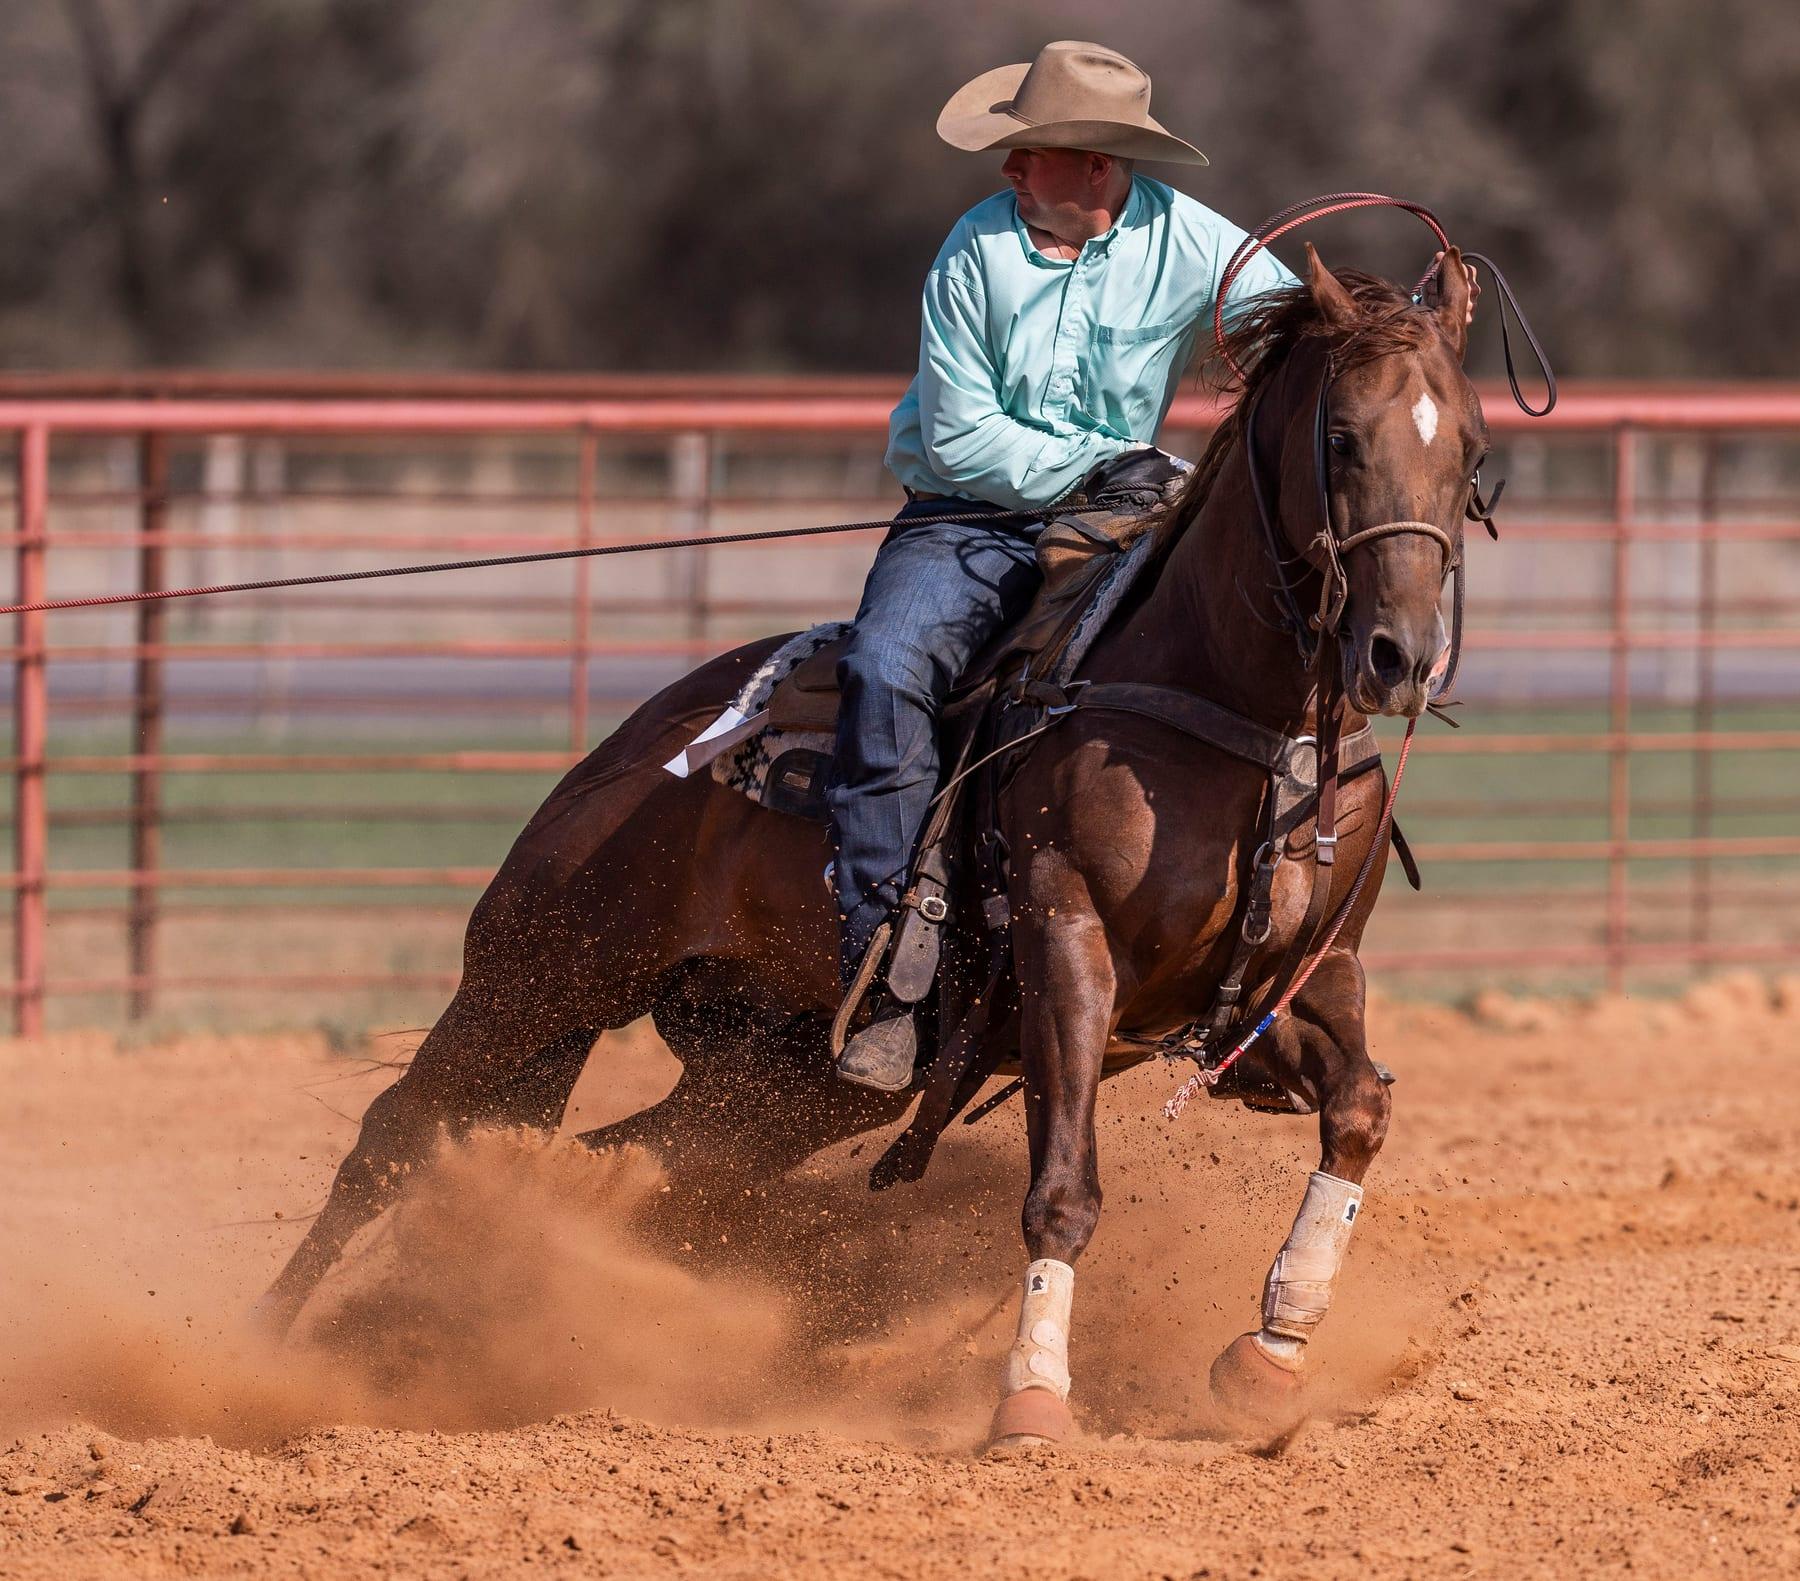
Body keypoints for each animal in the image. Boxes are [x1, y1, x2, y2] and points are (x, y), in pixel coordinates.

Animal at [260, 245, 1487, 1445]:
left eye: (1471, 450)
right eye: (1342, 436)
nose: (1400, 655)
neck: (1238, 718)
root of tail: (636, 745)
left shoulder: (1311, 980)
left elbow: (1360, 1113)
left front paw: (1271, 1360)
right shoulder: (1067, 949)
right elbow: (1063, 1190)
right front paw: (1031, 1401)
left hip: (791, 1073)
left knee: (642, 1163)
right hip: (543, 972)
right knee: (395, 1136)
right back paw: (266, 1348)